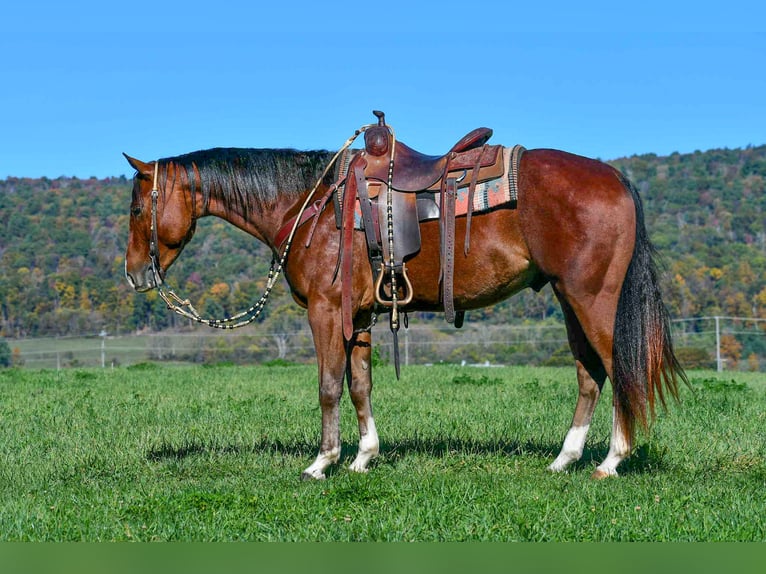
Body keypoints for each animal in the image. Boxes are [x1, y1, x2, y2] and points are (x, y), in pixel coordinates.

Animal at [123, 129, 687, 480]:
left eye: (135, 207)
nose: (134, 274)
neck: (310, 206)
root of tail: (615, 178)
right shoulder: (358, 317)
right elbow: (360, 385)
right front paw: (363, 458)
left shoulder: (324, 311)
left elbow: (328, 386)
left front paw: (321, 462)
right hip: (569, 300)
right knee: (590, 374)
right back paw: (563, 460)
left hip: (593, 300)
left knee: (621, 368)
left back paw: (611, 461)